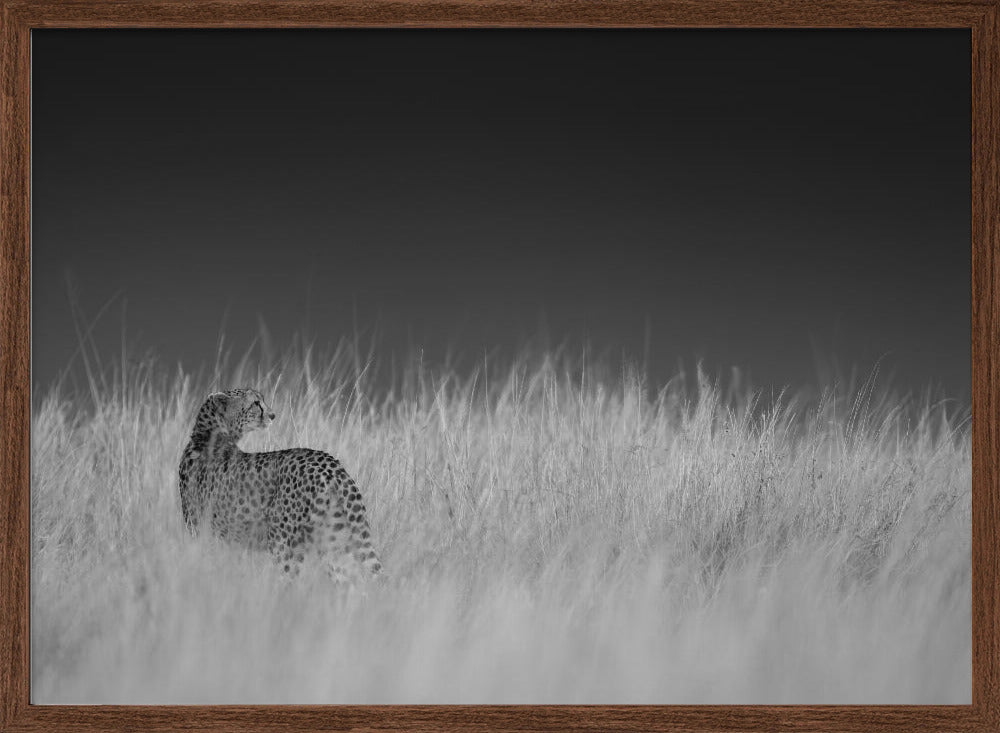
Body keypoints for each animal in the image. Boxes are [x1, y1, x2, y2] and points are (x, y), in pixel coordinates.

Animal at [178, 387, 381, 581]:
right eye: (255, 403)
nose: (272, 415)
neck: (208, 435)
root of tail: (329, 463)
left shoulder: (205, 534)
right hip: (334, 539)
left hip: (283, 542)